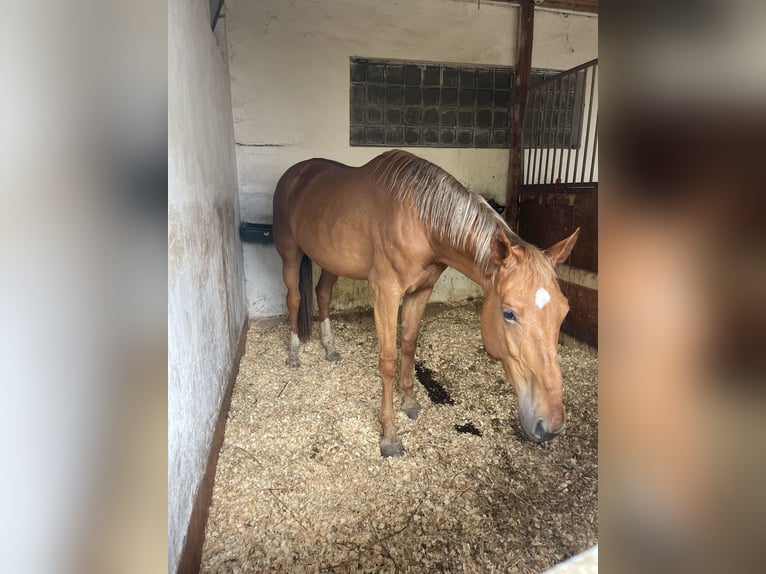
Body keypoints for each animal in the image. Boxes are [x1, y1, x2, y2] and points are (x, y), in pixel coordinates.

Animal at [272, 150, 580, 460]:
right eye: (509, 313)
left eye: (565, 311)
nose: (550, 425)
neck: (419, 220)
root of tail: (295, 174)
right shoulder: (386, 292)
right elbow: (388, 360)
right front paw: (390, 436)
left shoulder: (421, 291)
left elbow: (408, 345)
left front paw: (409, 402)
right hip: (290, 254)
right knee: (294, 299)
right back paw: (294, 353)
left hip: (331, 260)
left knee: (323, 294)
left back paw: (330, 348)